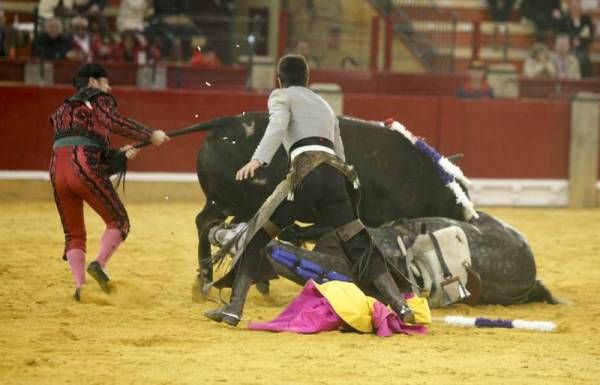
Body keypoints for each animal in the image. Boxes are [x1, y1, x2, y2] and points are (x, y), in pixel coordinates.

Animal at [193, 111, 556, 304]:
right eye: (457, 202)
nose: (475, 221)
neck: (421, 177)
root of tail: (226, 123)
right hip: (234, 203)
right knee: (213, 226)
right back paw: (215, 282)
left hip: (224, 202)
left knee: (208, 224)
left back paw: (211, 283)